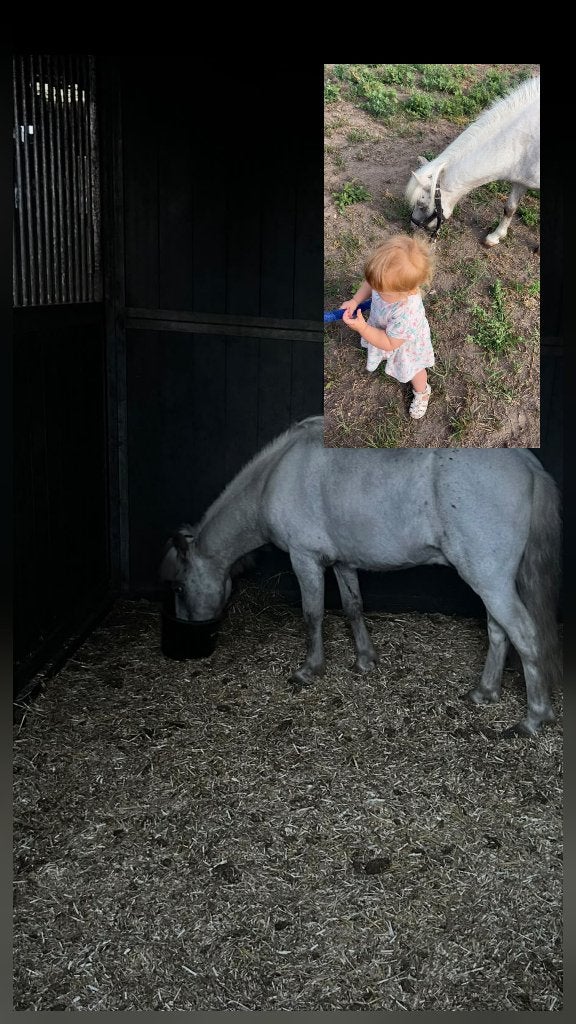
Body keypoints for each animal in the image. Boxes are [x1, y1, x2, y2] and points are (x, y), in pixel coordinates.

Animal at [160, 416, 560, 737]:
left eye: (179, 586)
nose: (187, 629)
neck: (277, 475)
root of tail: (527, 464)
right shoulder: (343, 562)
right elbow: (353, 608)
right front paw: (365, 660)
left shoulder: (305, 559)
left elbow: (313, 614)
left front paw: (309, 670)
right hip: (490, 581)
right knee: (498, 631)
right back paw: (485, 693)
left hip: (489, 581)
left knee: (524, 635)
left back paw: (533, 719)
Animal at [405, 76, 539, 247]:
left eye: (422, 205)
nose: (412, 226)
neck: (527, 141)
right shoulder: (521, 180)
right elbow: (510, 208)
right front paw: (495, 237)